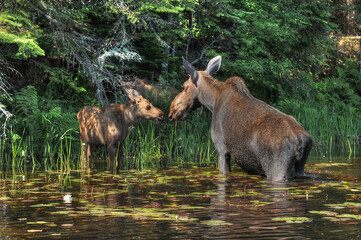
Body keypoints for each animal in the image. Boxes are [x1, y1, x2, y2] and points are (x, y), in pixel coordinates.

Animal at [167, 55, 310, 180]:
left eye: (184, 87)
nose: (172, 111)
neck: (211, 102)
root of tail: (302, 141)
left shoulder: (221, 148)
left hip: (277, 170)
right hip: (300, 169)